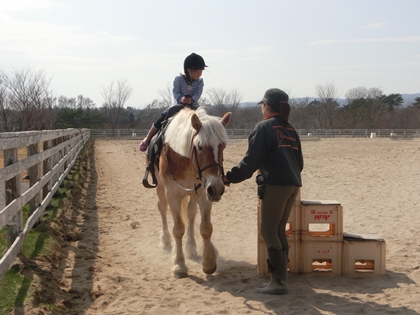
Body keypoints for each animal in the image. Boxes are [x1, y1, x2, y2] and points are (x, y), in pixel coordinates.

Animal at [150, 108, 230, 278]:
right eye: (199, 146)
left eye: (223, 146)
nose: (217, 189)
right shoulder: (173, 194)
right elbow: (178, 229)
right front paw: (179, 265)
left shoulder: (204, 193)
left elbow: (206, 228)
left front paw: (209, 262)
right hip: (160, 187)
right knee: (162, 208)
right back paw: (165, 242)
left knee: (191, 214)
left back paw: (192, 248)